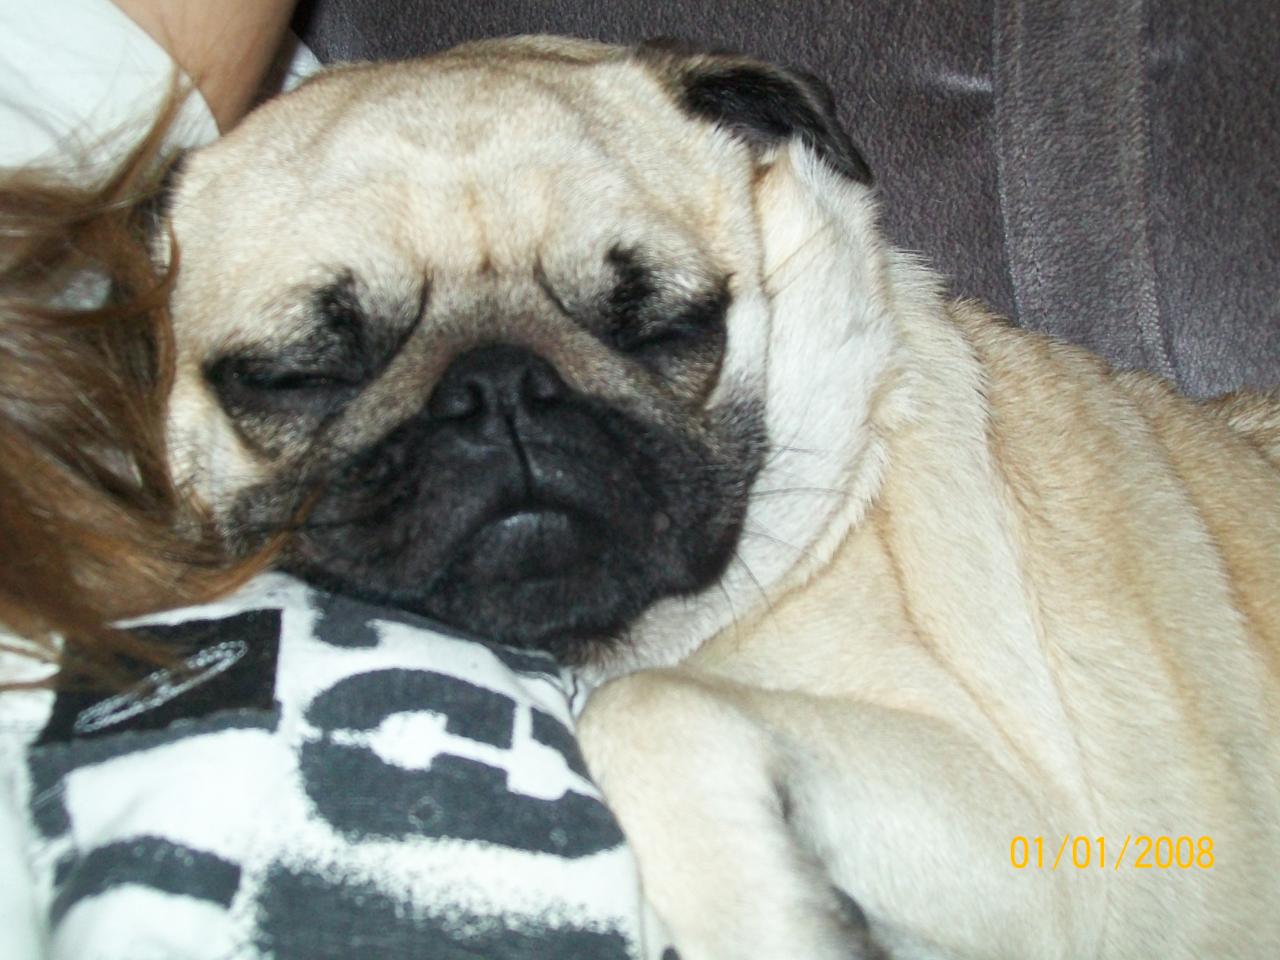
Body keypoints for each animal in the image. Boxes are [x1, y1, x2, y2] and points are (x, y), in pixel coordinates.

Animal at [159, 36, 1280, 959]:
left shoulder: (1031, 837)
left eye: (665, 326)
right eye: (297, 377)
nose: (498, 389)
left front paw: (763, 925)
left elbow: (646, 706)